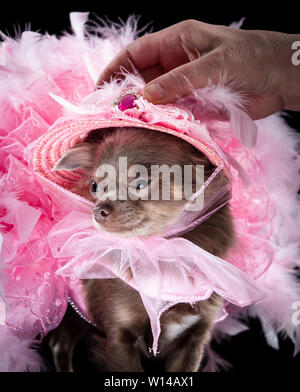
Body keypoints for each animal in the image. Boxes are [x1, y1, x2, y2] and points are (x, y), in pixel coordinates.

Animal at [48, 127, 233, 372]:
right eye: (94, 186)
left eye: (141, 184)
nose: (98, 210)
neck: (159, 253)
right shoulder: (119, 336)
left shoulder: (194, 337)